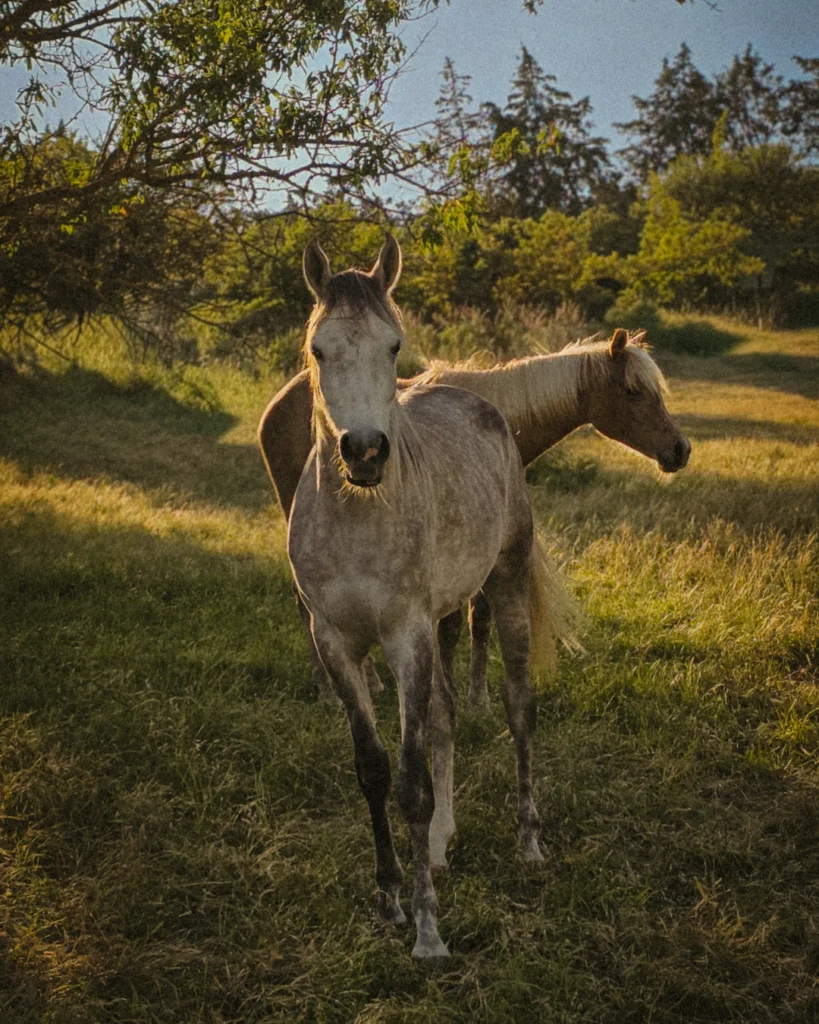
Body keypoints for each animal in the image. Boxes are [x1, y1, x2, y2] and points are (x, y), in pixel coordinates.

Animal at [260, 327, 691, 702]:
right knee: (307, 608)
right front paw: (451, 690)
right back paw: (330, 691)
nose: (680, 449)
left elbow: (479, 619)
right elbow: (451, 626)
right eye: (633, 391)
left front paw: (477, 695)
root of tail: (277, 405)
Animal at [287, 236, 560, 958]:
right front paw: (389, 896)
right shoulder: (336, 641)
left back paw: (528, 841)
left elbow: (409, 785)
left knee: (518, 709)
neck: (357, 516)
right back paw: (439, 843)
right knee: (443, 718)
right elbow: (373, 769)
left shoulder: (403, 637)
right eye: (318, 349)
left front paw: (428, 927)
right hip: (440, 623)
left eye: (393, 346)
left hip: (504, 589)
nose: (364, 451)